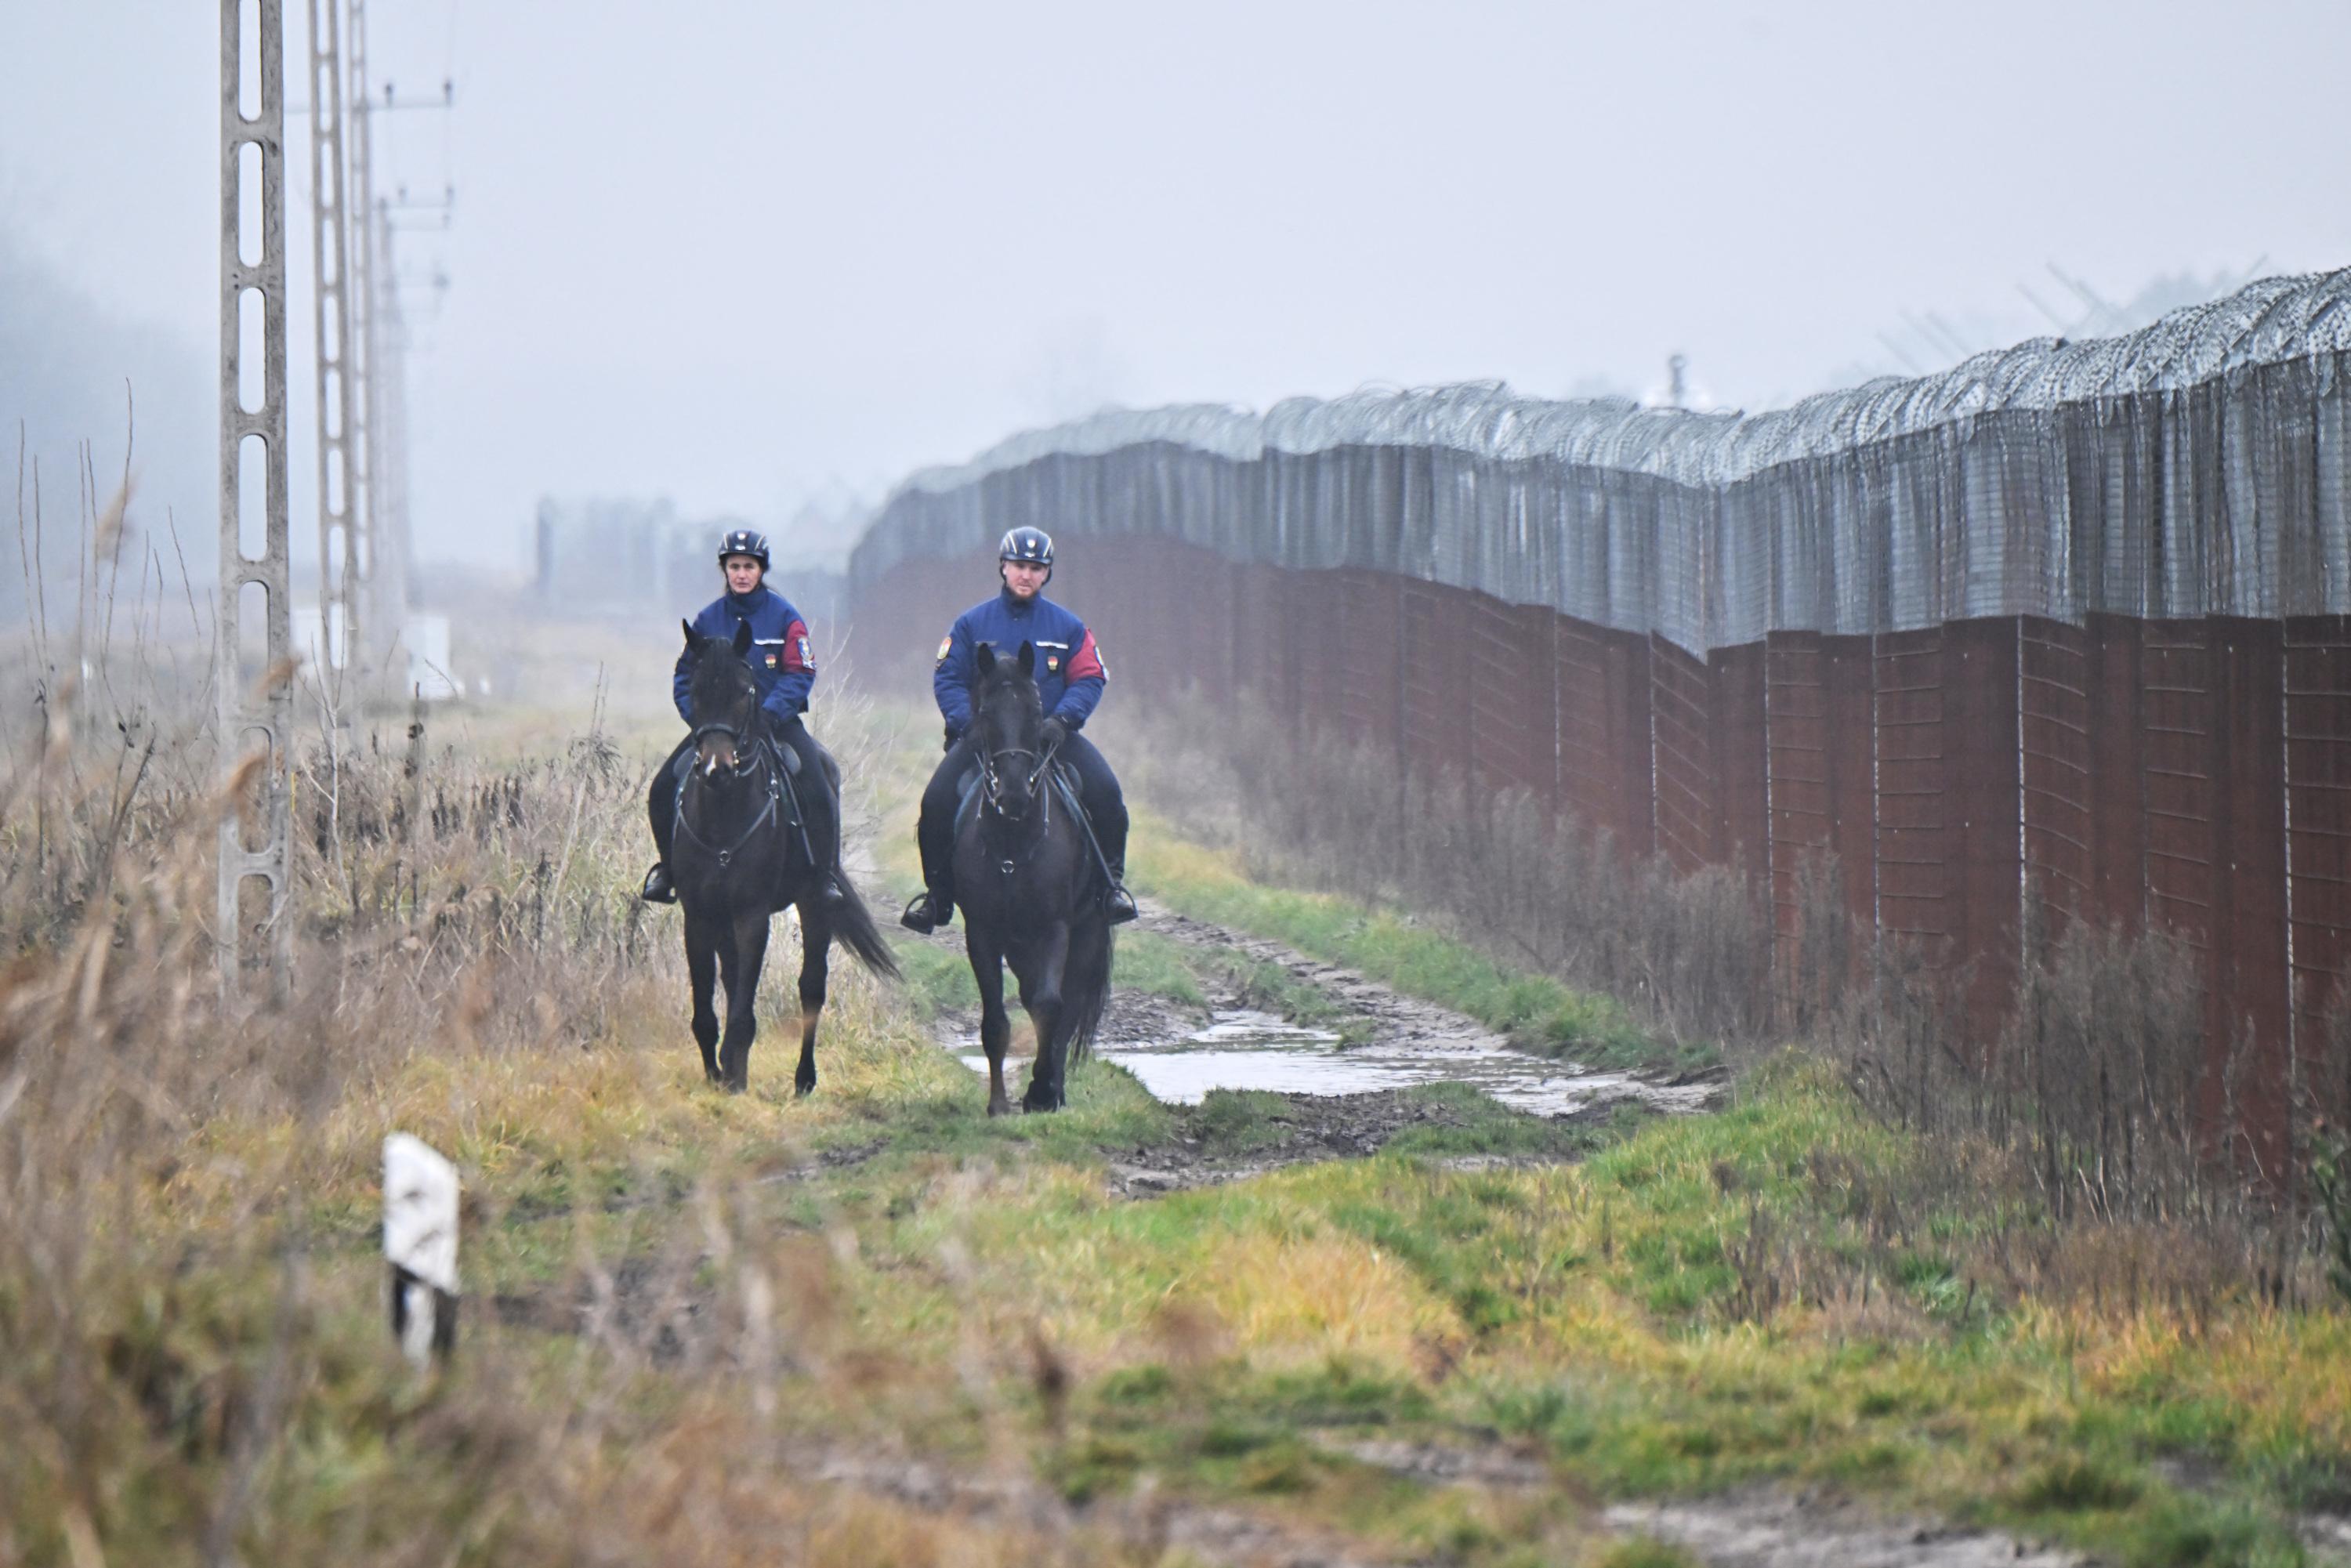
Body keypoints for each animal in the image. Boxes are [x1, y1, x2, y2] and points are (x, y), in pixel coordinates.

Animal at [682, 621, 907, 1100]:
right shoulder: (699, 914)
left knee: (812, 988)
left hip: (815, 902)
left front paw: (735, 1078)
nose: (716, 769)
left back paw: (804, 1079)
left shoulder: (752, 913)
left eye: (745, 691)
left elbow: (744, 1004)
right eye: (693, 689)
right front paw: (716, 1074)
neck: (724, 816)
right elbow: (709, 1005)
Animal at [955, 639, 1110, 1114]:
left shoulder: (1055, 925)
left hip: (1086, 930)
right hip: (1019, 944)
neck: (1012, 842)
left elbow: (1050, 1006)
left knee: (1068, 1004)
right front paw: (998, 1105)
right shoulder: (982, 932)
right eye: (986, 712)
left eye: (1037, 709)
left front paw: (1042, 1090)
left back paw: (1054, 1088)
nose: (1014, 794)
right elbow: (995, 1020)